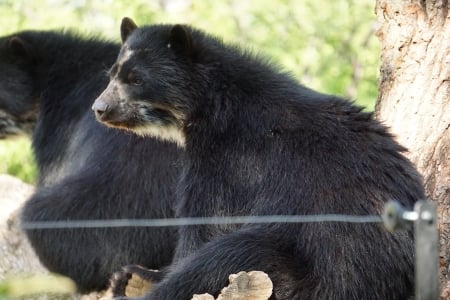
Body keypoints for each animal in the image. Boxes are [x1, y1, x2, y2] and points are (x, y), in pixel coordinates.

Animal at [92, 18, 426, 298]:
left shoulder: (233, 158)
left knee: (226, 256)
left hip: (315, 267)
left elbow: (209, 220)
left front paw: (150, 274)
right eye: (111, 75)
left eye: (137, 79)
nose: (100, 108)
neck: (212, 104)